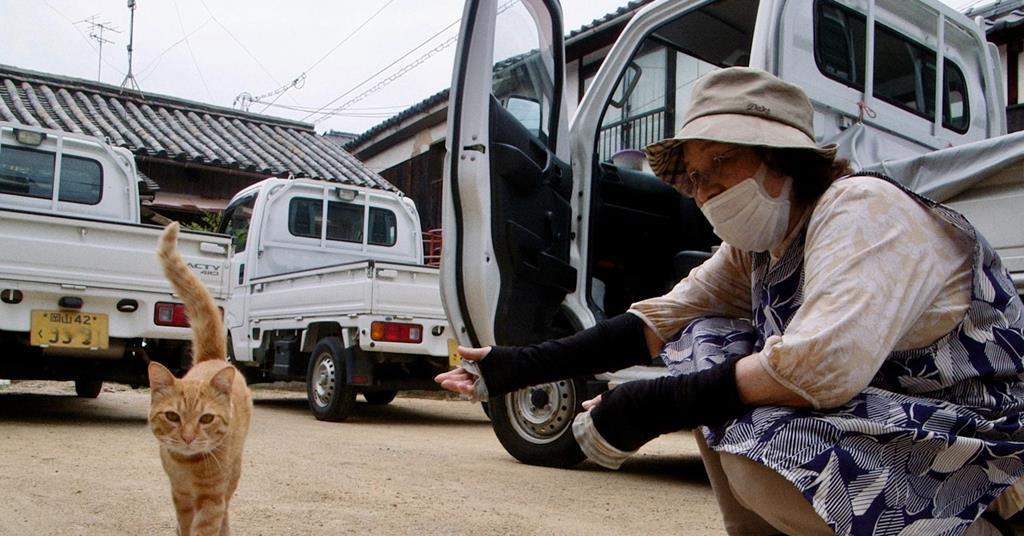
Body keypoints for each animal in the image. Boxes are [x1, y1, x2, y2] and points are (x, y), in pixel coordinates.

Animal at [148, 220, 251, 532]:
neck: (188, 466)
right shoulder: (180, 496)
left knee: (228, 505)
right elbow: (185, 525)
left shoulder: (211, 499)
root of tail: (212, 358)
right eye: (172, 416)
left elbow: (206, 525)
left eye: (206, 419)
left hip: (234, 471)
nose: (188, 437)